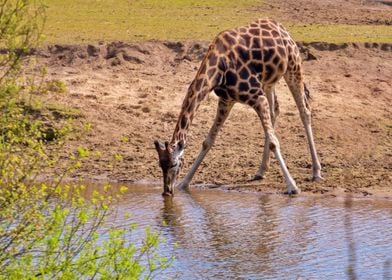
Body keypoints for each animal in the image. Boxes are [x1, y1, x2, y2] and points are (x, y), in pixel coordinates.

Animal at [155, 18, 324, 196]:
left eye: (174, 164)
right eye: (160, 164)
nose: (167, 191)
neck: (219, 68)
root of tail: (280, 26)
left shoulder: (256, 97)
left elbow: (274, 142)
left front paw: (293, 186)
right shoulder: (226, 100)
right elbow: (208, 141)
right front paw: (184, 183)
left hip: (293, 67)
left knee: (304, 111)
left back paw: (316, 171)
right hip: (268, 82)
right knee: (275, 111)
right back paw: (261, 171)